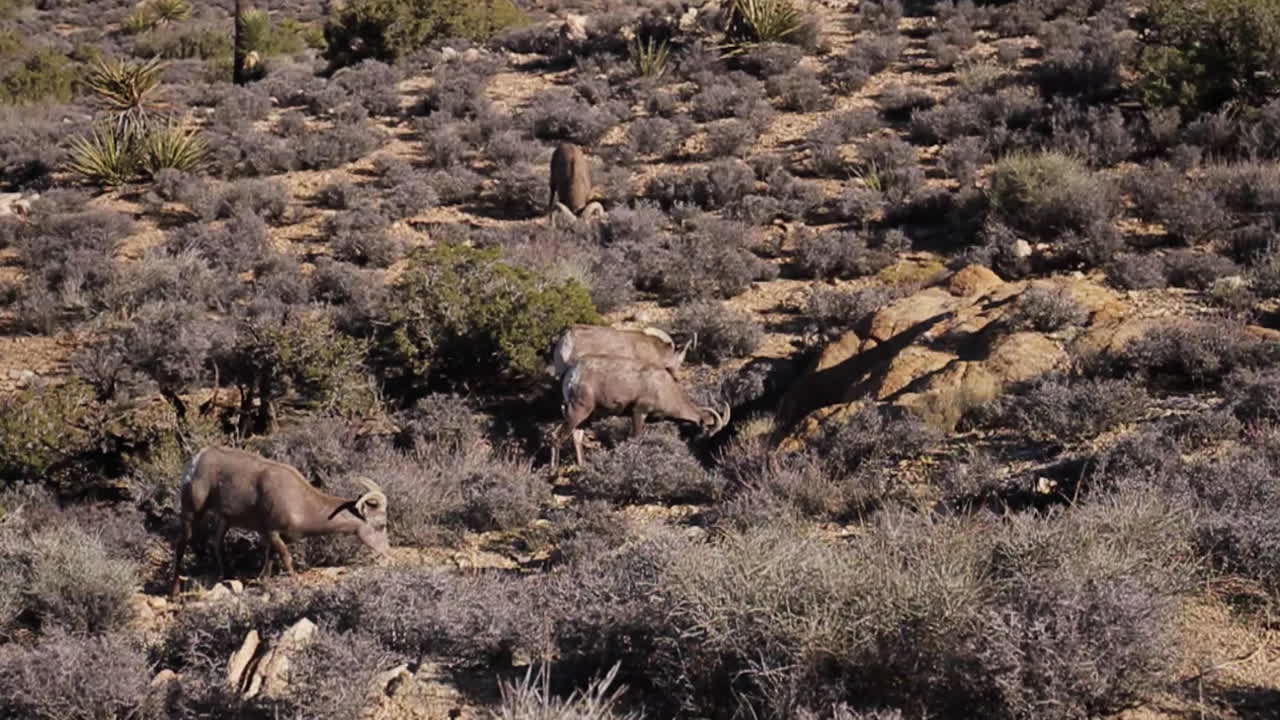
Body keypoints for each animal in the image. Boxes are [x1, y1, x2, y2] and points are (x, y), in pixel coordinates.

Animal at [168, 446, 389, 599]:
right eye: (381, 525)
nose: (387, 552)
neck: (302, 502)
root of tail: (195, 462)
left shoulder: (270, 537)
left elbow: (270, 560)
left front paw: (265, 586)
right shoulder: (273, 533)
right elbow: (285, 558)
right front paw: (296, 583)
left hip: (225, 521)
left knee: (216, 545)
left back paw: (224, 578)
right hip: (192, 513)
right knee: (181, 546)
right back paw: (175, 594)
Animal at [548, 355, 731, 467]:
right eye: (705, 431)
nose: (701, 453)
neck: (665, 389)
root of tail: (572, 374)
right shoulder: (638, 413)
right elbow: (635, 439)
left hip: (585, 417)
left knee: (576, 438)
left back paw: (582, 466)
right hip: (578, 411)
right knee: (557, 436)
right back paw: (553, 473)